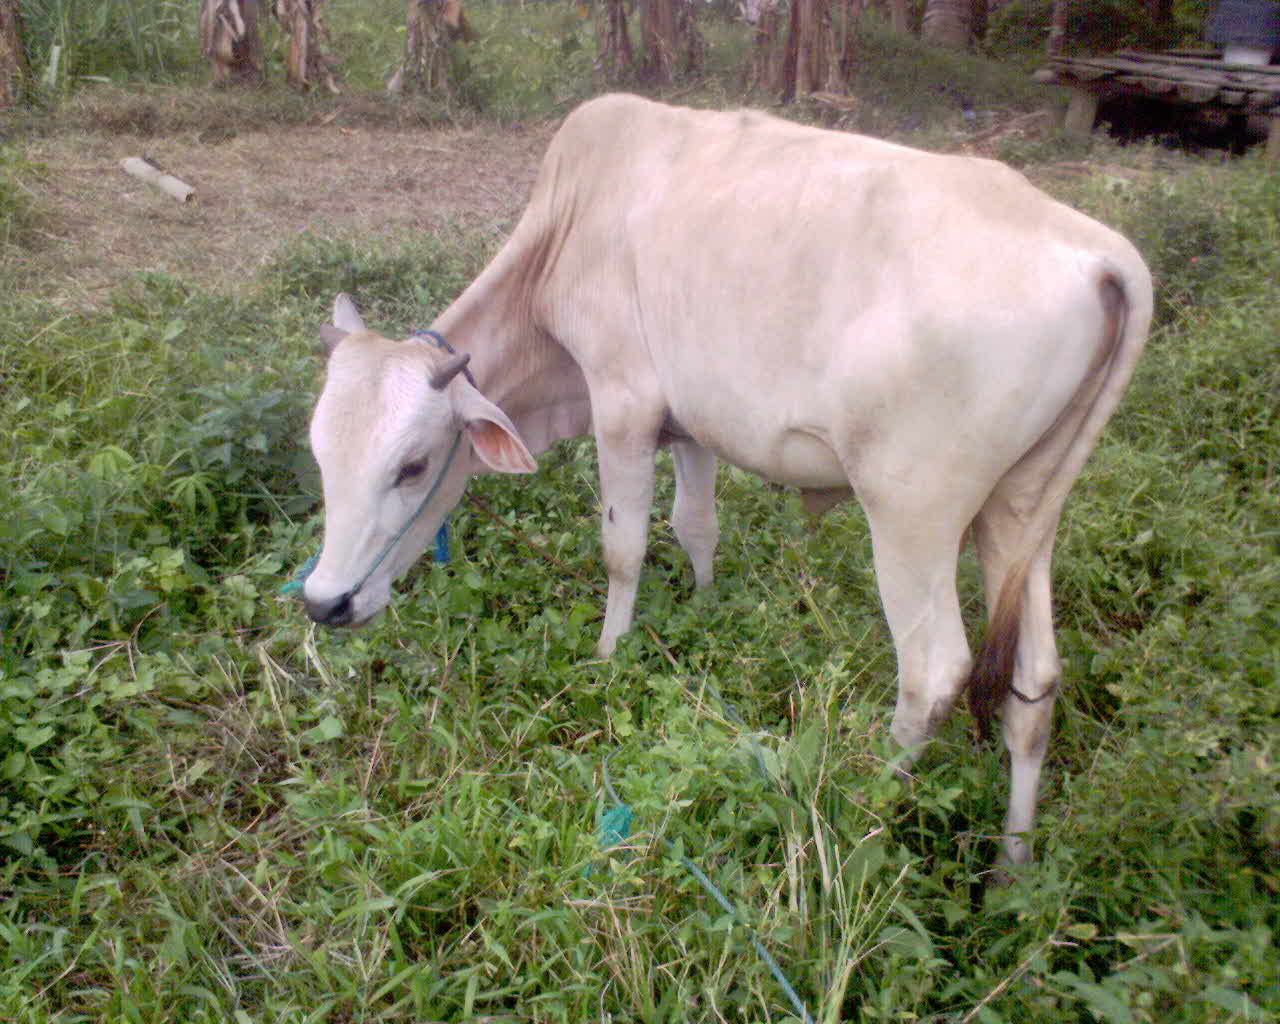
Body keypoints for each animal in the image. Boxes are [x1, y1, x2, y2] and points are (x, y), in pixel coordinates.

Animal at [304, 94, 1157, 865]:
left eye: (412, 465)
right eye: (319, 457)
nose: (323, 602)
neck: (565, 230)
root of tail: (1099, 252)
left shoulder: (623, 405)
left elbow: (623, 549)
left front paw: (609, 656)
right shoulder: (690, 424)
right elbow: (695, 526)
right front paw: (707, 605)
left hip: (912, 514)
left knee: (933, 674)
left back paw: (860, 805)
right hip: (1021, 514)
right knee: (1034, 686)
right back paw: (1013, 866)